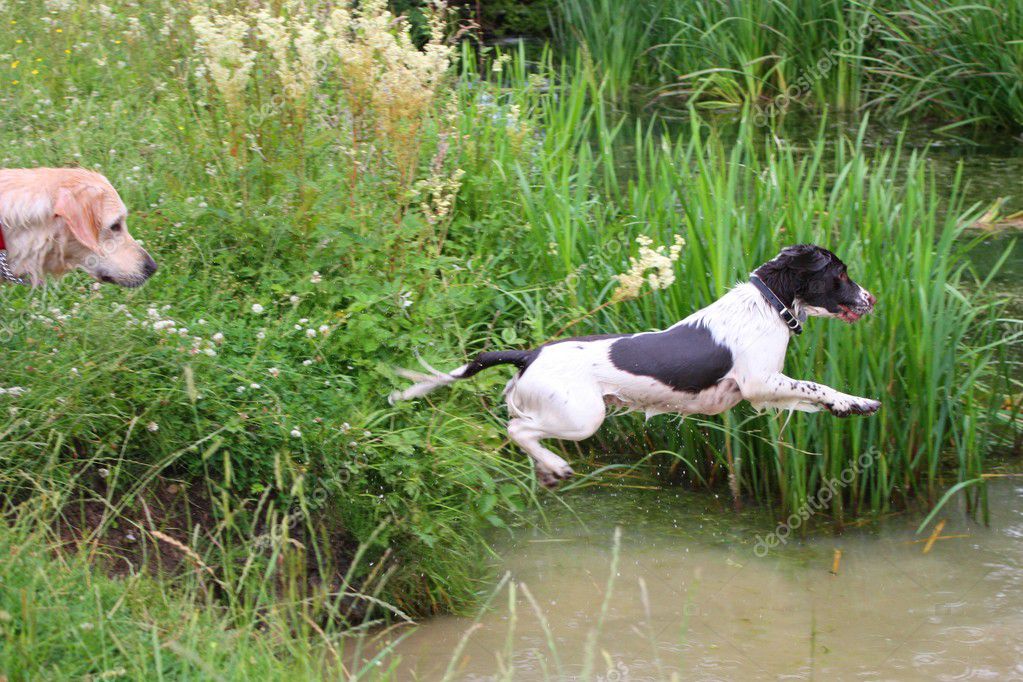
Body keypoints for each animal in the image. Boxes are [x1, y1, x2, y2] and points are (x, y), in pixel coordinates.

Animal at [388, 242, 879, 488]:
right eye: (840, 274)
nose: (872, 299)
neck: (768, 305)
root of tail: (530, 354)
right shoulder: (760, 383)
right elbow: (816, 386)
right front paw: (857, 402)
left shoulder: (763, 393)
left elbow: (813, 397)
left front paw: (851, 406)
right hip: (582, 416)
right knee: (517, 430)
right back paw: (556, 465)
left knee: (520, 432)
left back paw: (547, 470)